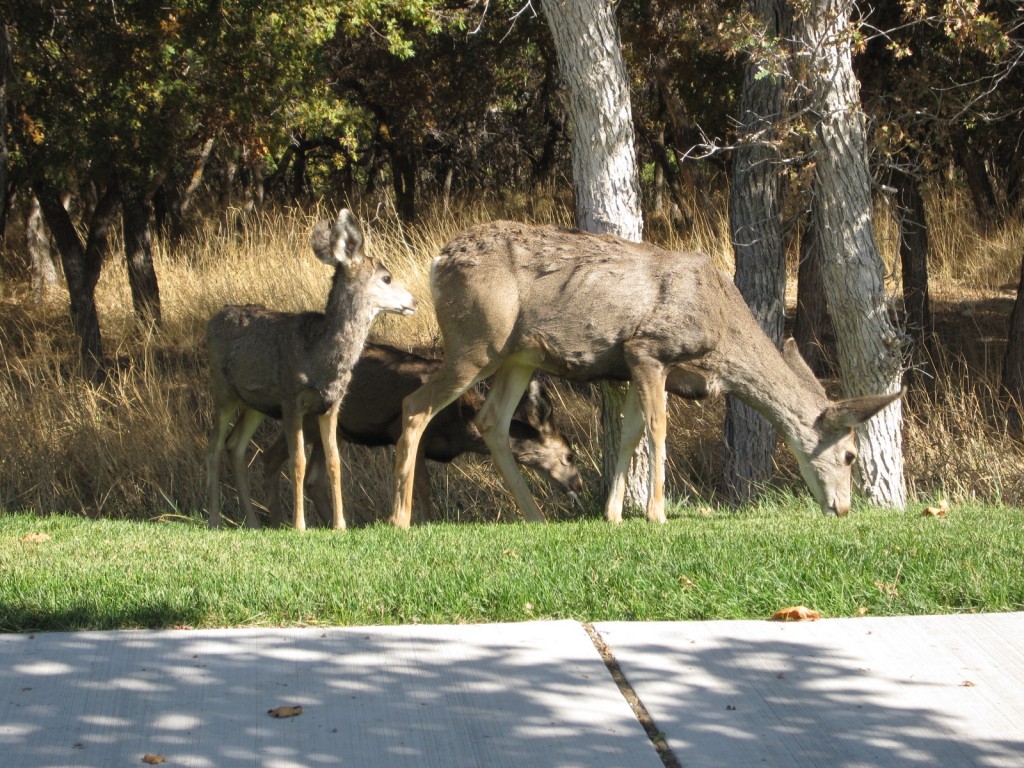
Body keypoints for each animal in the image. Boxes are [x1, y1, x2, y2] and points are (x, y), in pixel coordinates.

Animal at [203, 210, 415, 536]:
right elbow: (298, 462)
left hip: (256, 404)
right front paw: (299, 524)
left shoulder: (332, 405)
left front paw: (340, 524)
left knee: (235, 445)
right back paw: (214, 519)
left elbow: (335, 462)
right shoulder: (292, 399)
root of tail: (213, 319)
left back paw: (252, 522)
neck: (320, 360)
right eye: (387, 277)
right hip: (222, 388)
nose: (413, 301)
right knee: (213, 447)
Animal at [264, 344, 585, 528]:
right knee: (274, 457)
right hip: (308, 418)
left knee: (311, 477)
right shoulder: (402, 431)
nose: (578, 486)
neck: (461, 423)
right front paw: (427, 521)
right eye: (570, 456)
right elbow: (422, 485)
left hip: (333, 430)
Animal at [387, 219, 901, 528]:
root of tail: (437, 261)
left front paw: (614, 514)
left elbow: (630, 432)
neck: (721, 334)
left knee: (491, 420)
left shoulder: (641, 365)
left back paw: (535, 515)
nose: (842, 507)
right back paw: (401, 518)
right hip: (477, 341)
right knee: (414, 405)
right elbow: (657, 428)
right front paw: (657, 512)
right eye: (852, 455)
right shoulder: (648, 348)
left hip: (519, 356)